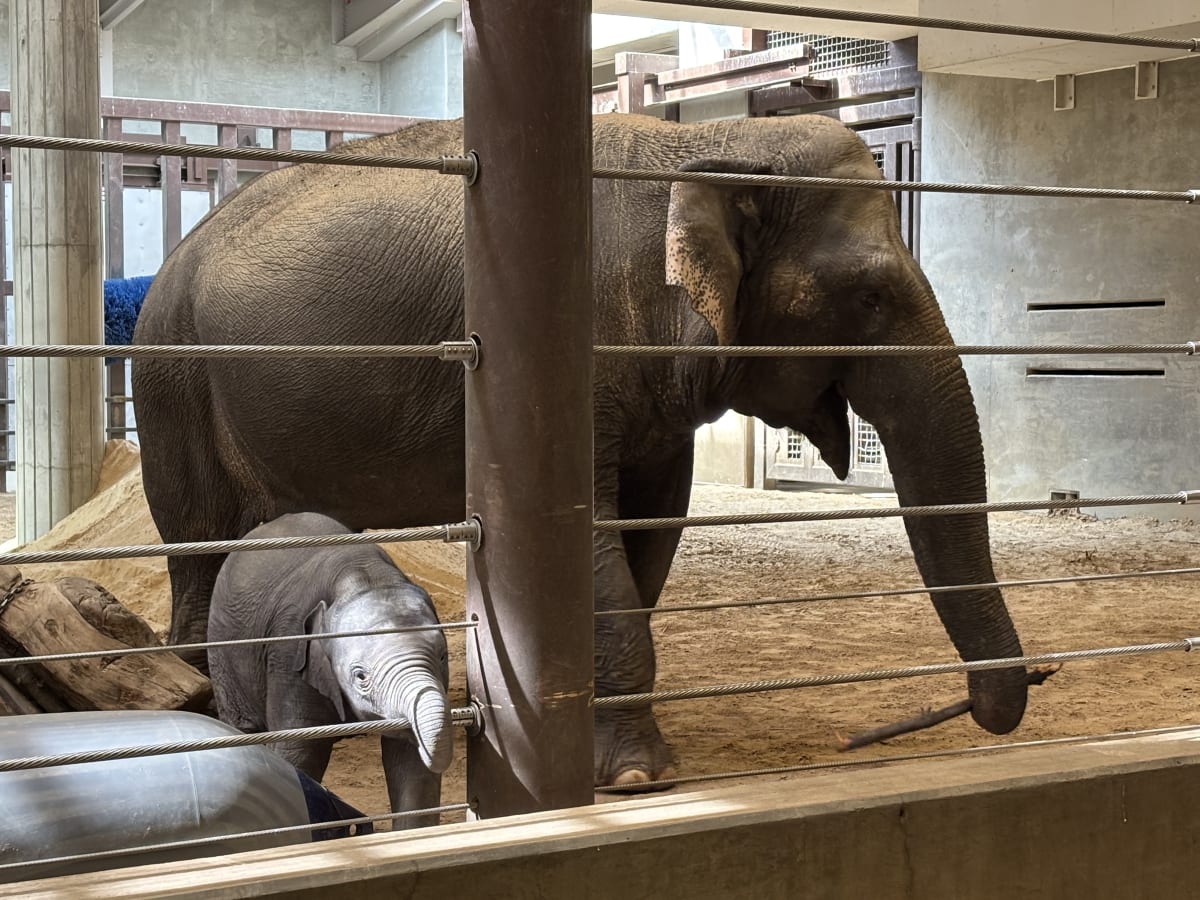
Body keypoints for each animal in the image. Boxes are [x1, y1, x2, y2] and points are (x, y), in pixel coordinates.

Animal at [132, 112, 1028, 790]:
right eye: (869, 297)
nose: (977, 710)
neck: (708, 141)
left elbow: (648, 531)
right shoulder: (571, 354)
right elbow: (586, 532)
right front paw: (638, 776)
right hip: (173, 384)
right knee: (198, 547)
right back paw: (204, 713)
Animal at [207, 513, 453, 828]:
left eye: (443, 656)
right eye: (360, 677)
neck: (360, 576)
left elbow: (409, 760)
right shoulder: (288, 654)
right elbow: (300, 751)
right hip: (222, 647)